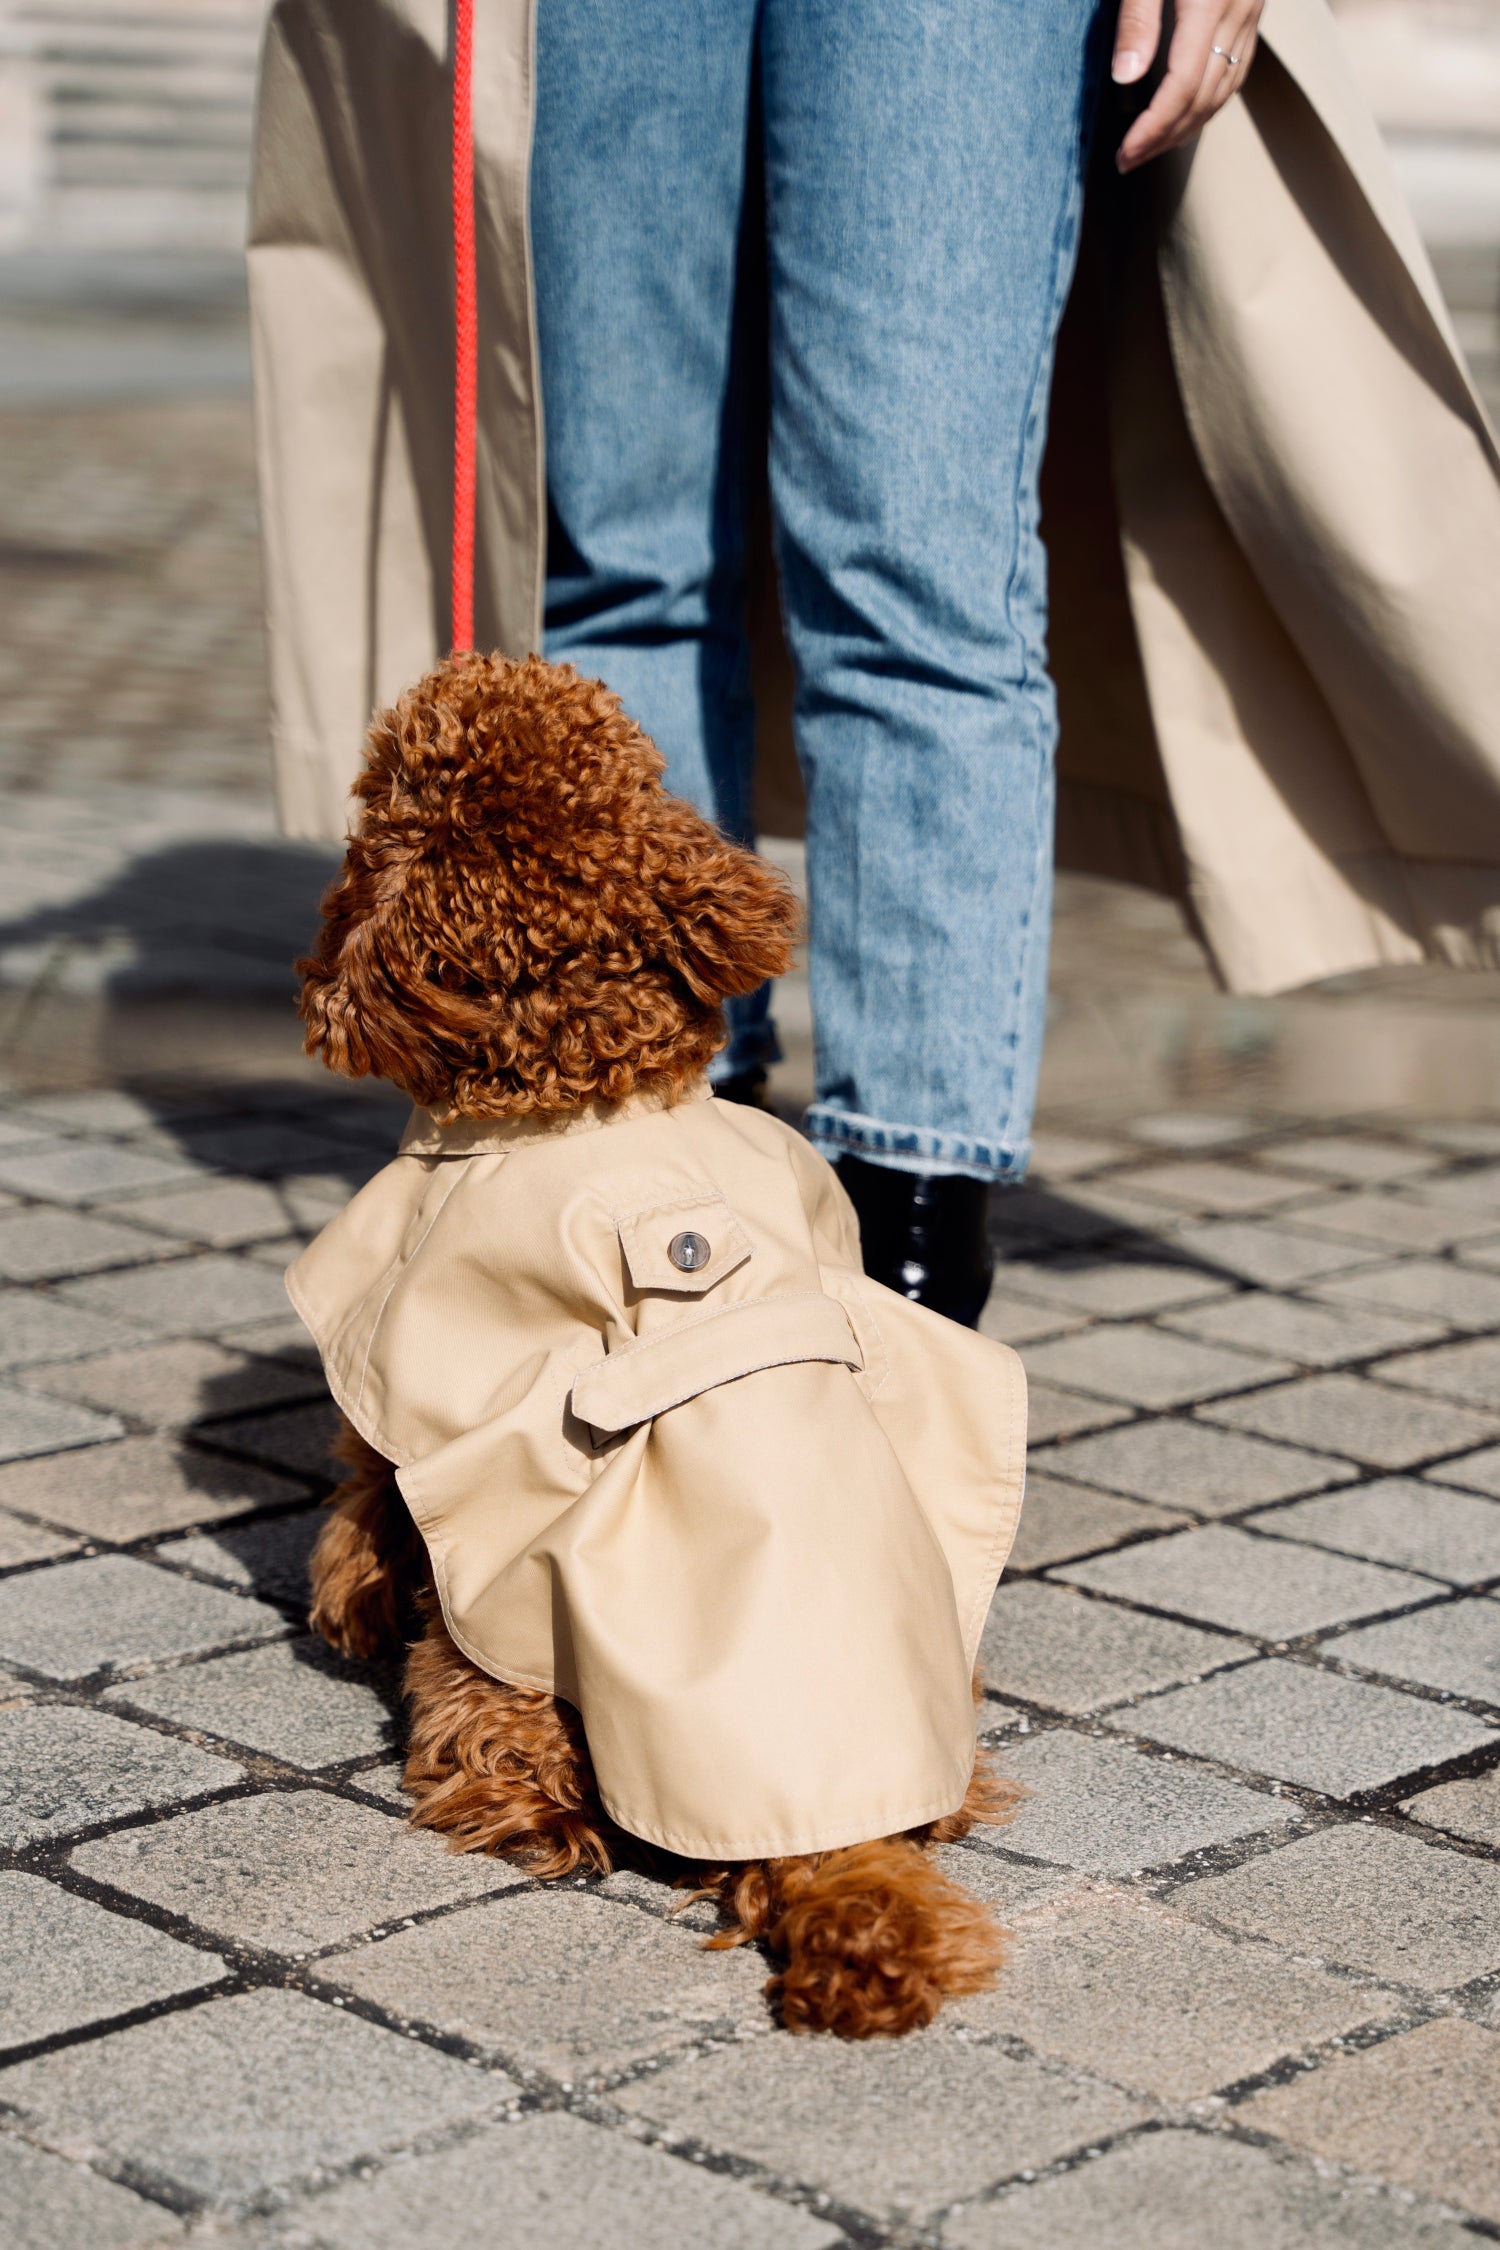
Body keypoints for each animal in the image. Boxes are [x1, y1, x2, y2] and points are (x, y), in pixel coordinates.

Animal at [299, 652, 1020, 2043]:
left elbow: (367, 1500)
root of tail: (821, 1813)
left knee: (523, 1776)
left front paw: (341, 1599)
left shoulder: (398, 1347)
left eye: (378, 799)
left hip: (495, 1665)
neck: (583, 1084)